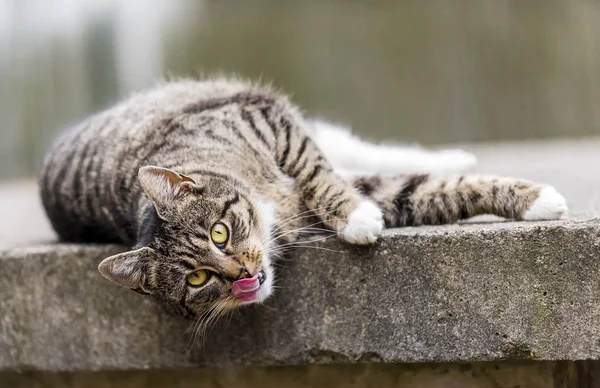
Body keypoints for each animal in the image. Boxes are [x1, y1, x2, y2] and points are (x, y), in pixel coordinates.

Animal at [38, 77, 568, 322]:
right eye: (197, 279)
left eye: (219, 232)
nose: (243, 274)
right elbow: (424, 192)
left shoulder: (271, 121)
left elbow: (319, 172)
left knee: (350, 145)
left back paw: (456, 153)